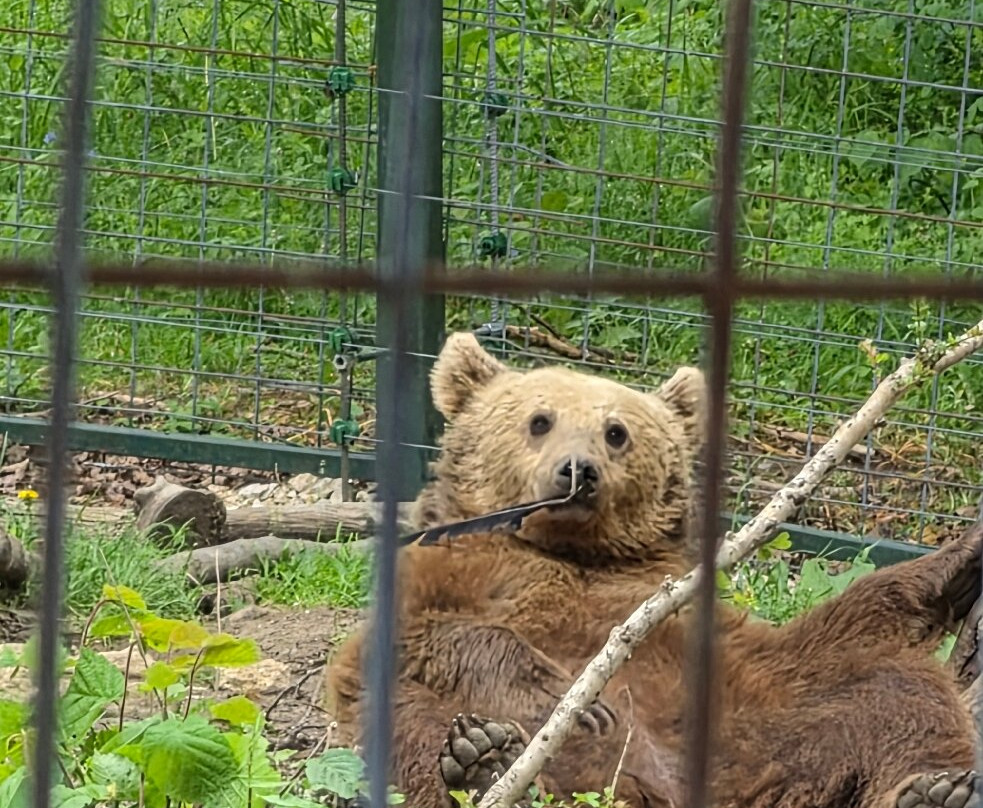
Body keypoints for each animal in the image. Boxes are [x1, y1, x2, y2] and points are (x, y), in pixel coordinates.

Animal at [324, 331, 983, 808]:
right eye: (540, 420)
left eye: (616, 431)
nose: (577, 469)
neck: (576, 552)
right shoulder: (452, 570)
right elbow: (421, 635)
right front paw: (572, 696)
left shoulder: (688, 605)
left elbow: (853, 619)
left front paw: (961, 559)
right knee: (411, 719)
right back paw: (484, 761)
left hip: (770, 720)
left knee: (896, 691)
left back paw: (934, 792)